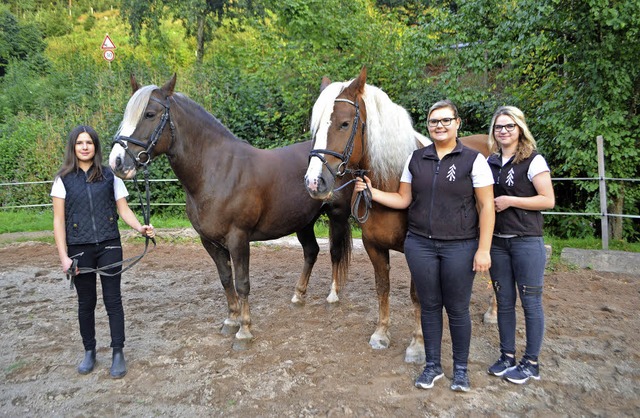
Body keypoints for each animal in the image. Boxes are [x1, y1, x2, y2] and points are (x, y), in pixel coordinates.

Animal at [107, 75, 352, 350]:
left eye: (149, 114)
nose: (116, 162)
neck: (218, 171)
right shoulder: (210, 241)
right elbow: (226, 279)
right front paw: (231, 321)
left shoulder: (238, 239)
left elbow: (242, 283)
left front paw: (244, 332)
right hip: (303, 222)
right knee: (311, 252)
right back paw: (298, 296)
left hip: (337, 215)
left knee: (335, 252)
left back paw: (332, 297)